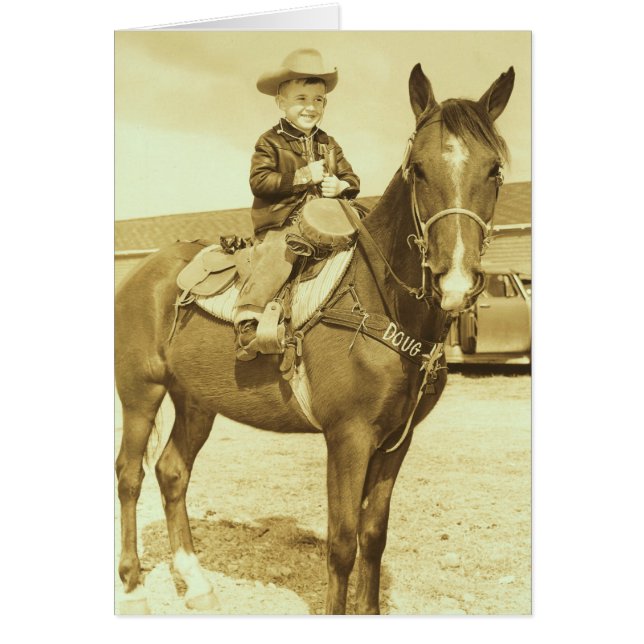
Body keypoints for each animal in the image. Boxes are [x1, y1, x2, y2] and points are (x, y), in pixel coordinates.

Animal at [115, 63, 515, 615]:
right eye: (417, 169)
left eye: (494, 170)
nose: (454, 280)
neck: (376, 299)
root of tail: (142, 274)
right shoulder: (347, 436)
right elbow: (342, 542)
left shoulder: (397, 439)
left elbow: (373, 535)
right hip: (141, 393)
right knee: (129, 475)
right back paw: (133, 587)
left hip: (196, 399)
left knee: (172, 471)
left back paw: (196, 583)